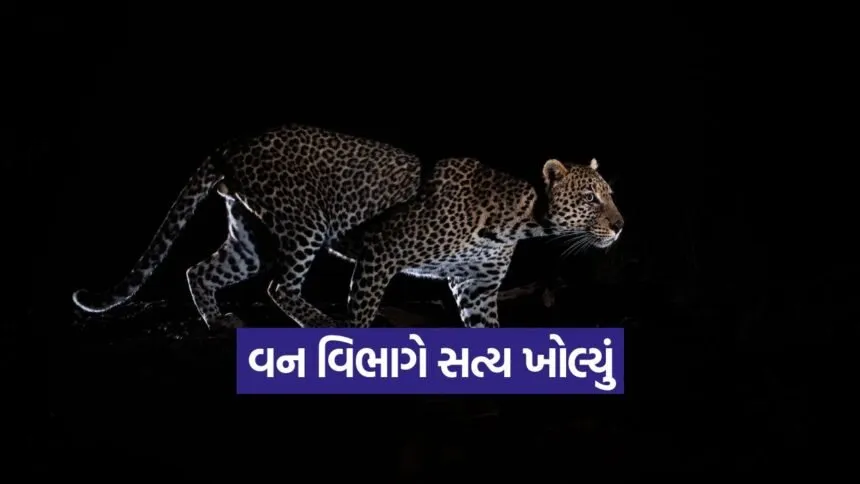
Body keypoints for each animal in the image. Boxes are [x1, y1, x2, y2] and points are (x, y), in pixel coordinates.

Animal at [71, 123, 422, 329]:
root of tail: (234, 143)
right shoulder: (382, 250)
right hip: (305, 224)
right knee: (279, 288)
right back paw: (322, 323)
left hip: (251, 242)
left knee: (199, 271)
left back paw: (218, 322)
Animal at [330, 156, 625, 329]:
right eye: (589, 198)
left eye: (610, 194)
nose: (620, 226)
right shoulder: (380, 254)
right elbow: (359, 318)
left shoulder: (476, 288)